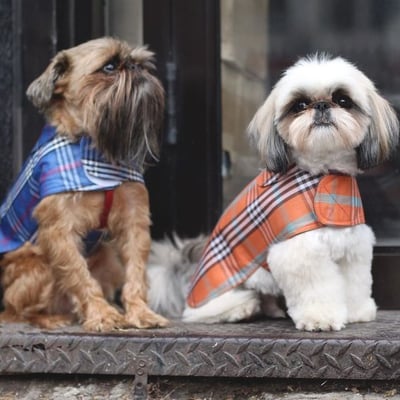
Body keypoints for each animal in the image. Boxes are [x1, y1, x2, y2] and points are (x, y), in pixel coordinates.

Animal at [0, 37, 169, 332]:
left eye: (140, 62)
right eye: (109, 67)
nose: (135, 67)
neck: (96, 149)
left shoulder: (134, 222)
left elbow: (136, 272)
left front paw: (140, 312)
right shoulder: (59, 232)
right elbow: (79, 275)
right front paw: (101, 315)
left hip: (108, 261)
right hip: (38, 266)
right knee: (17, 312)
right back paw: (52, 318)